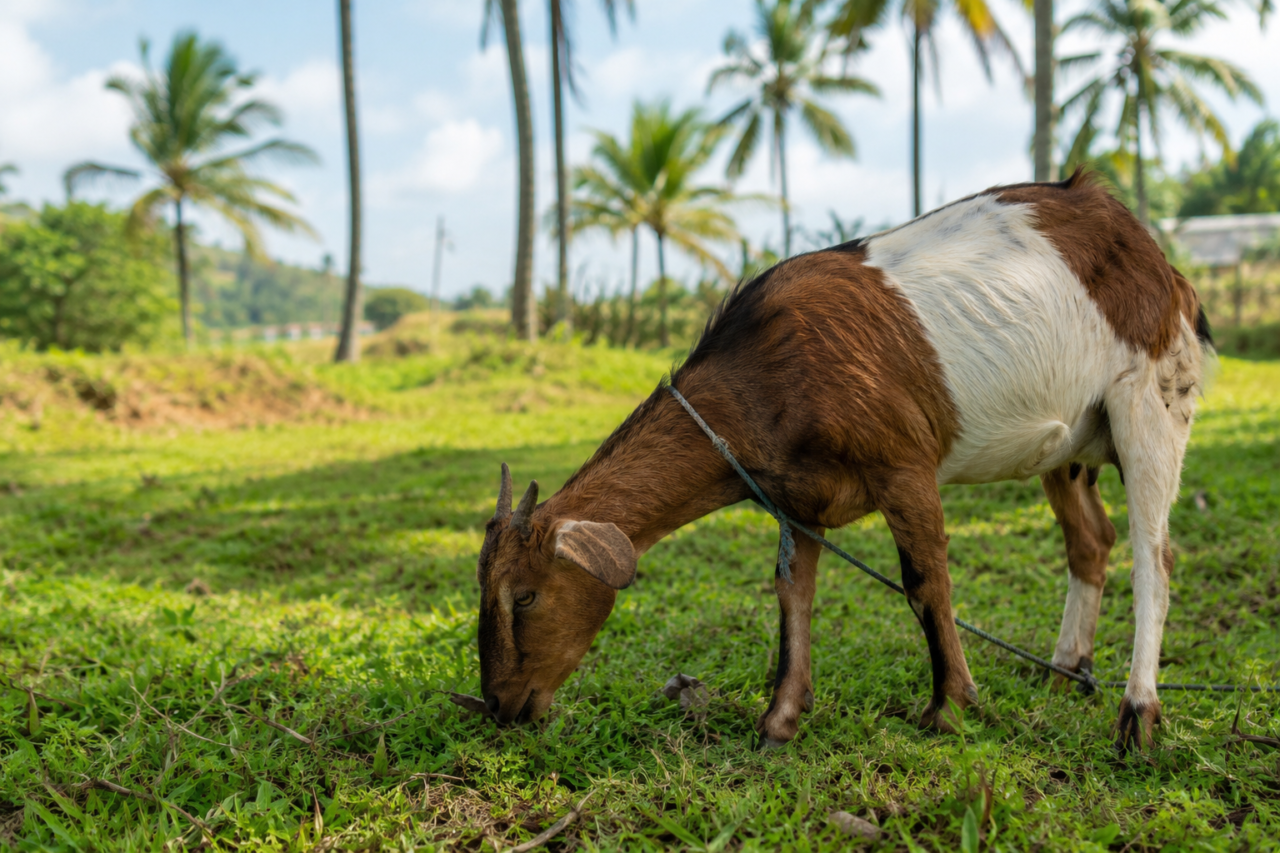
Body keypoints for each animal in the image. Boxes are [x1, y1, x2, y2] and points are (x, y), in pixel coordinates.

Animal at [475, 170, 1211, 751]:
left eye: (525, 595)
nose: (500, 706)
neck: (763, 372)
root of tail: (1162, 262)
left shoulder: (903, 462)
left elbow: (925, 580)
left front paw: (950, 708)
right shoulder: (797, 496)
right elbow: (791, 592)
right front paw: (779, 719)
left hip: (1151, 395)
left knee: (1155, 554)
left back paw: (1137, 715)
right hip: (1072, 444)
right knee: (1092, 540)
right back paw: (1065, 669)